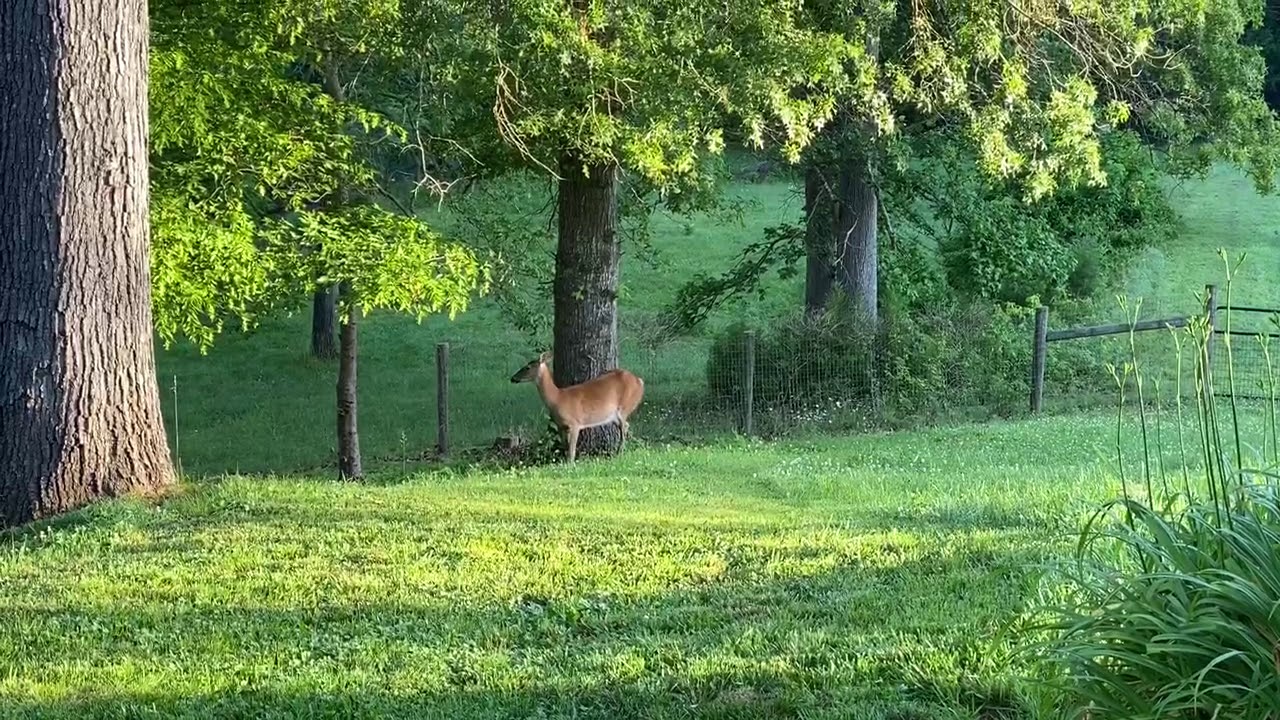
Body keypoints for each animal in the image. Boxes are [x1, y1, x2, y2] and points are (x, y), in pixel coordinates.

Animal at [509, 350, 645, 463]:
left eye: (527, 367)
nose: (512, 378)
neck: (557, 399)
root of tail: (639, 381)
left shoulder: (575, 423)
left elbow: (572, 450)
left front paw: (570, 465)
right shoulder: (561, 426)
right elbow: (565, 447)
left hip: (625, 406)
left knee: (624, 426)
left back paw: (620, 453)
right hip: (614, 416)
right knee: (626, 426)